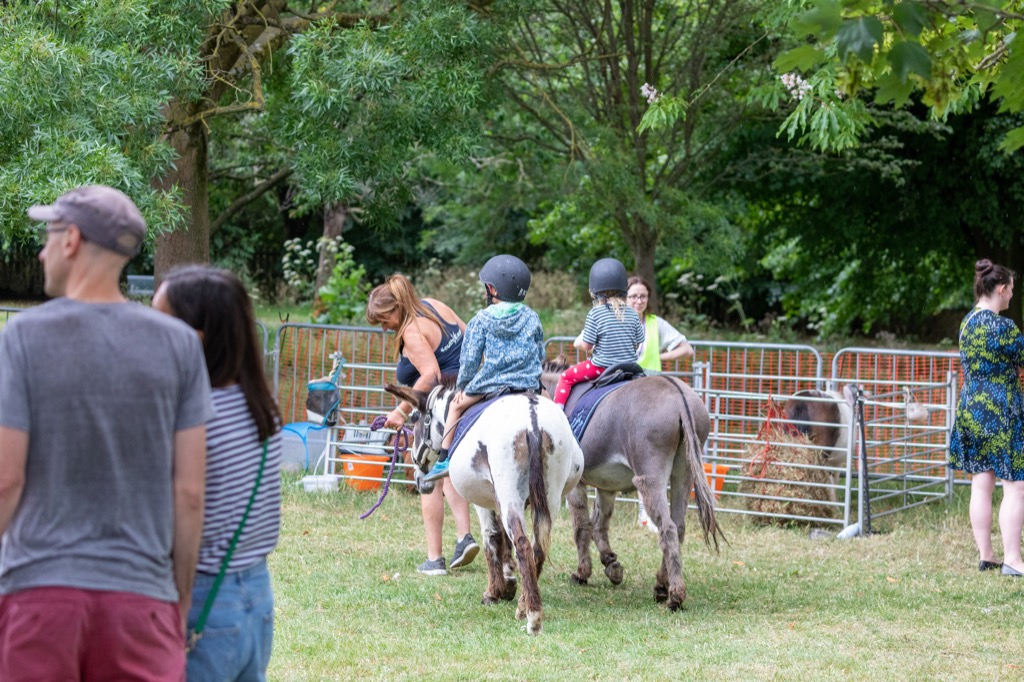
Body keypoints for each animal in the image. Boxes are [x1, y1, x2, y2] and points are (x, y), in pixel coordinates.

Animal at [384, 378, 584, 635]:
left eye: (415, 418)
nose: (419, 478)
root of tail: (533, 419)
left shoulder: (483, 501)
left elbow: (492, 539)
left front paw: (494, 591)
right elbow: (505, 542)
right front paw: (509, 581)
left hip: (511, 492)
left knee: (522, 544)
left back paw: (533, 616)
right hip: (551, 496)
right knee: (537, 547)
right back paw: (524, 604)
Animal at [540, 358, 725, 612]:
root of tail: (679, 395)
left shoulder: (575, 485)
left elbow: (581, 527)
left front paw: (582, 573)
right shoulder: (606, 485)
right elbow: (600, 524)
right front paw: (611, 565)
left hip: (650, 478)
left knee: (667, 527)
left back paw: (674, 596)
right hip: (683, 475)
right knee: (678, 527)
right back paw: (662, 585)